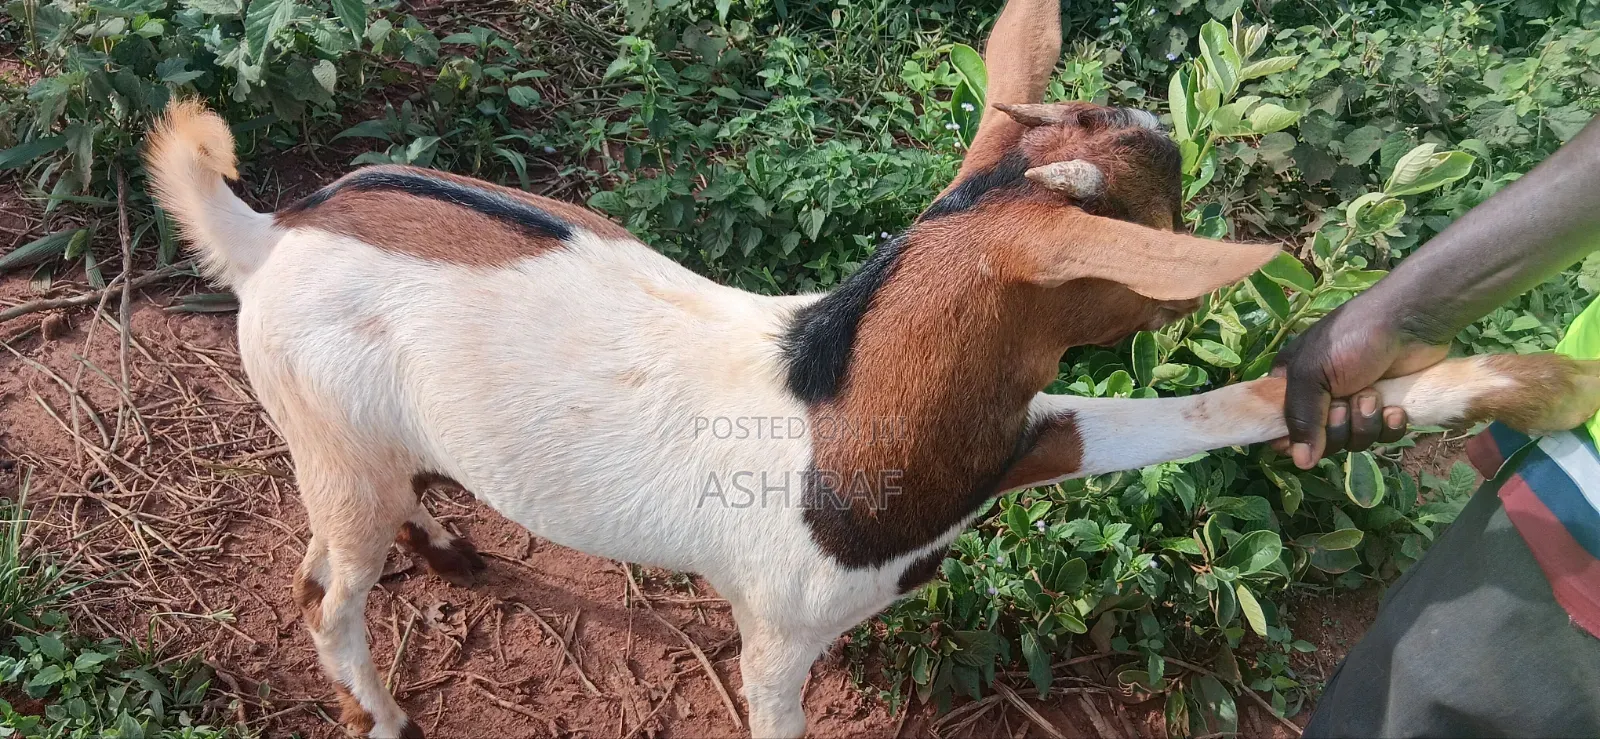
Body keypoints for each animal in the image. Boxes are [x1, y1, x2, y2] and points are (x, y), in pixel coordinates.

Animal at [144, 1, 1600, 735]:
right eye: (1166, 209)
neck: (838, 395)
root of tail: (271, 230)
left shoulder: (1023, 430)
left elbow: (1207, 409)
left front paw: (1481, 383)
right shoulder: (779, 637)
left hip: (364, 440)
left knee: (360, 528)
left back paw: (450, 541)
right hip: (329, 436)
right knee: (324, 585)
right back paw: (381, 706)